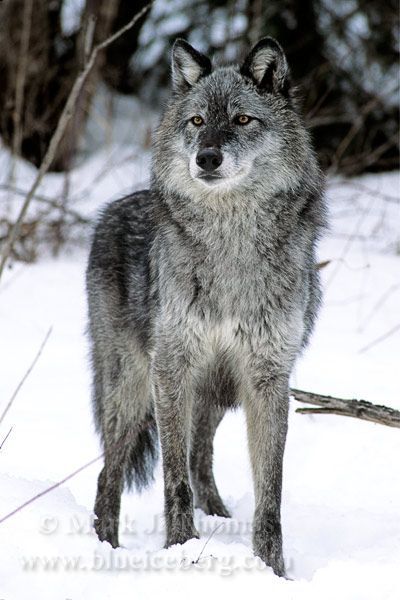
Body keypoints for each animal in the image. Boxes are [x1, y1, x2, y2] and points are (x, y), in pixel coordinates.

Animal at [85, 36, 324, 576]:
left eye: (241, 119)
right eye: (196, 121)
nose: (207, 158)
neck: (230, 245)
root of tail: (110, 210)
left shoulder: (267, 376)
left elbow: (270, 492)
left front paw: (272, 569)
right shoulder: (172, 367)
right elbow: (173, 479)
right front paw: (179, 549)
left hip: (213, 392)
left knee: (201, 459)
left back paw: (217, 518)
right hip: (131, 391)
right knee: (111, 474)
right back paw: (106, 550)